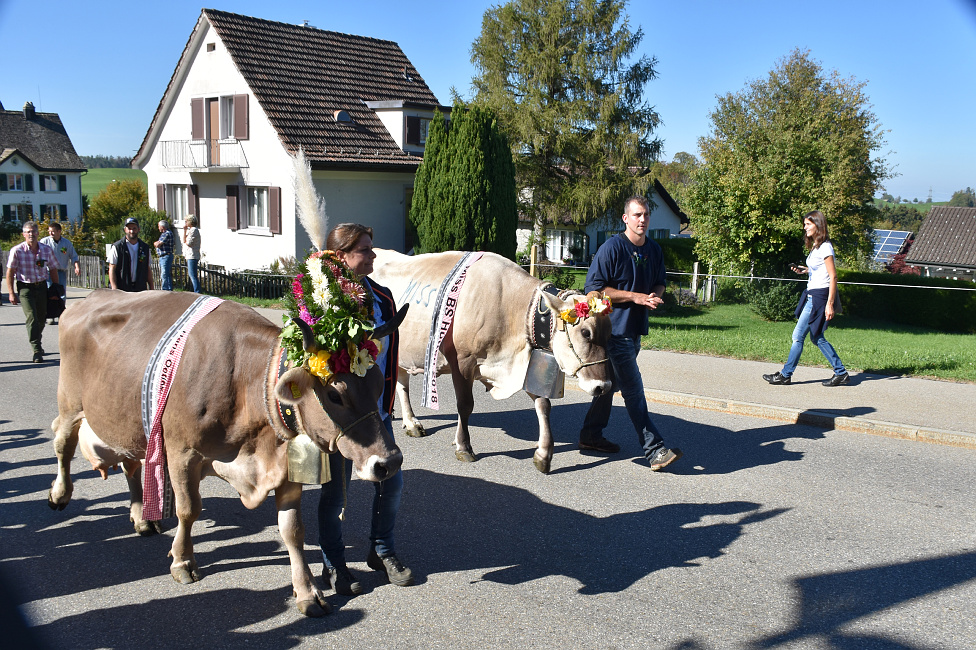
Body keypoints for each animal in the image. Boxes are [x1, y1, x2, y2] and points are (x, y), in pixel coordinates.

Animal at [49, 292, 404, 616]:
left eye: (378, 385)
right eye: (334, 395)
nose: (390, 462)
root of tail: (91, 297)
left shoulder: (285, 468)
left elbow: (293, 530)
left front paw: (307, 592)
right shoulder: (181, 452)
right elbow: (188, 510)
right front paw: (182, 561)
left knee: (129, 464)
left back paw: (141, 517)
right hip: (70, 403)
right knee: (62, 442)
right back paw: (59, 494)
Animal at [372, 248, 608, 470]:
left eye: (610, 333)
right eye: (586, 333)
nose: (603, 387)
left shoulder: (521, 367)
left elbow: (543, 405)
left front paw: (544, 454)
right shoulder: (462, 361)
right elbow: (465, 405)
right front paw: (464, 446)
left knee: (401, 384)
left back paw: (410, 422)